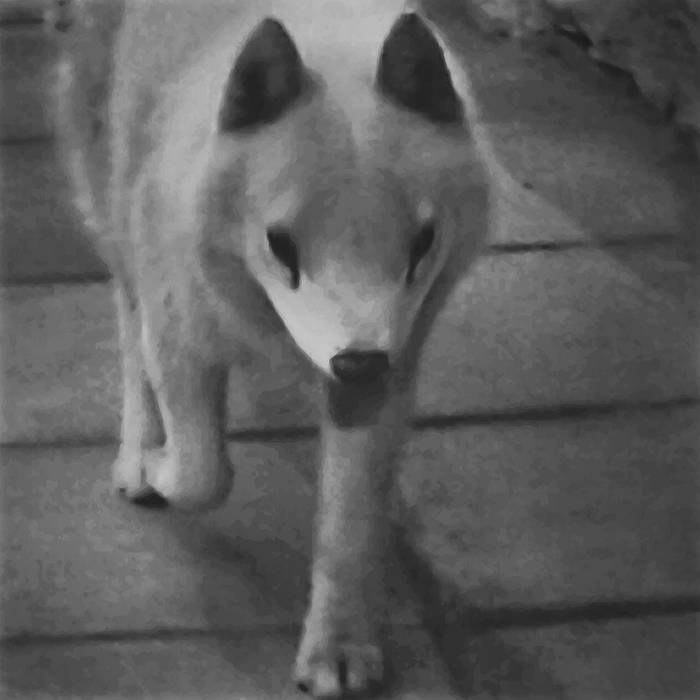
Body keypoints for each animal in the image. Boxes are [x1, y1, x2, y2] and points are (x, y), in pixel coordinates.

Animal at [54, 0, 494, 695]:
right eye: (279, 245)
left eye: (422, 244)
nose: (359, 364)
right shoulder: (179, 330)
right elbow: (202, 472)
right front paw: (159, 465)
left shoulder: (384, 368)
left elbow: (347, 525)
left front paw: (338, 649)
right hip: (112, 204)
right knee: (127, 322)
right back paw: (137, 453)